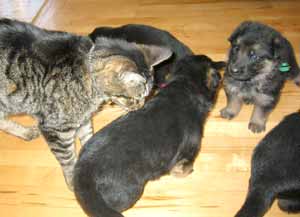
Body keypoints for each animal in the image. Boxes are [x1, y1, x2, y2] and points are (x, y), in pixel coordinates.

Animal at [0, 19, 171, 190]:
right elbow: (68, 159)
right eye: (135, 98)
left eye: (146, 96)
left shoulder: (83, 119)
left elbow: (87, 137)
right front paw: (74, 181)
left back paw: (26, 133)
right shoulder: (56, 128)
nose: (140, 106)